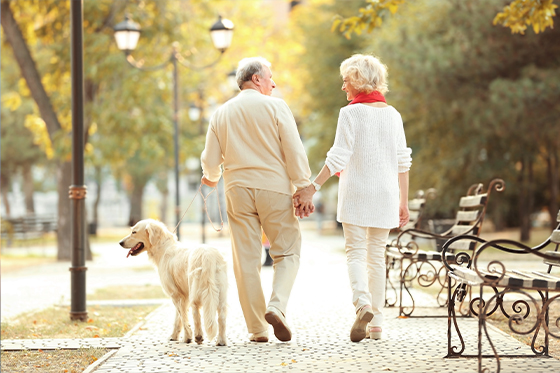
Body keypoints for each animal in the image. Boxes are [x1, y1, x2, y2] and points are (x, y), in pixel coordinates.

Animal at [119, 218, 229, 346]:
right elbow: (179, 318)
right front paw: (174, 336)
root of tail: (208, 255)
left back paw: (198, 336)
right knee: (221, 317)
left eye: (134, 232)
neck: (163, 247)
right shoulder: (182, 296)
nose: (120, 242)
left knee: (196, 313)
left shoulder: (176, 295)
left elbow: (183, 317)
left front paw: (187, 338)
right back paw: (221, 341)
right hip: (220, 294)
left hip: (196, 291)